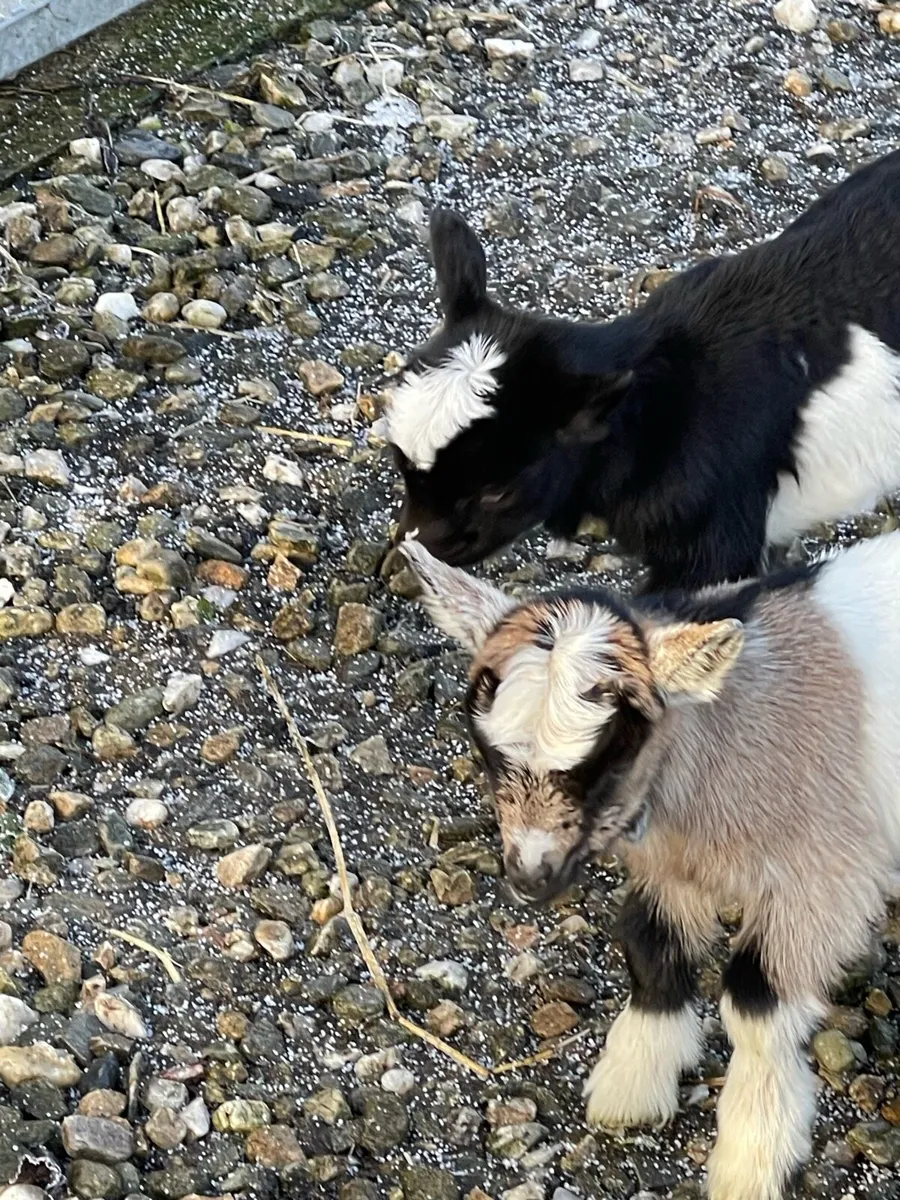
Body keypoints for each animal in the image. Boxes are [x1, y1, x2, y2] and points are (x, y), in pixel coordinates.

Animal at [401, 533, 900, 1200]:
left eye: (609, 756)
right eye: (487, 751)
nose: (529, 876)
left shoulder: (824, 877)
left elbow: (756, 1002)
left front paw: (752, 1155)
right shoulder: (671, 869)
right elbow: (650, 948)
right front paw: (630, 1087)